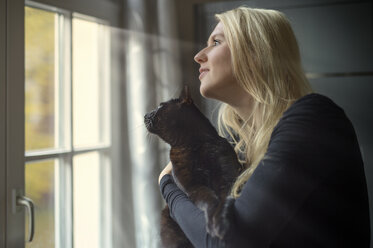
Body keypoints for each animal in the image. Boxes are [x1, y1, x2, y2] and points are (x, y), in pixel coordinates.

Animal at [142, 86, 241, 247]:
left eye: (160, 106)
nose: (145, 115)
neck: (194, 145)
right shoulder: (193, 186)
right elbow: (210, 199)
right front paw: (213, 224)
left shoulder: (227, 177)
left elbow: (223, 200)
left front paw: (220, 224)